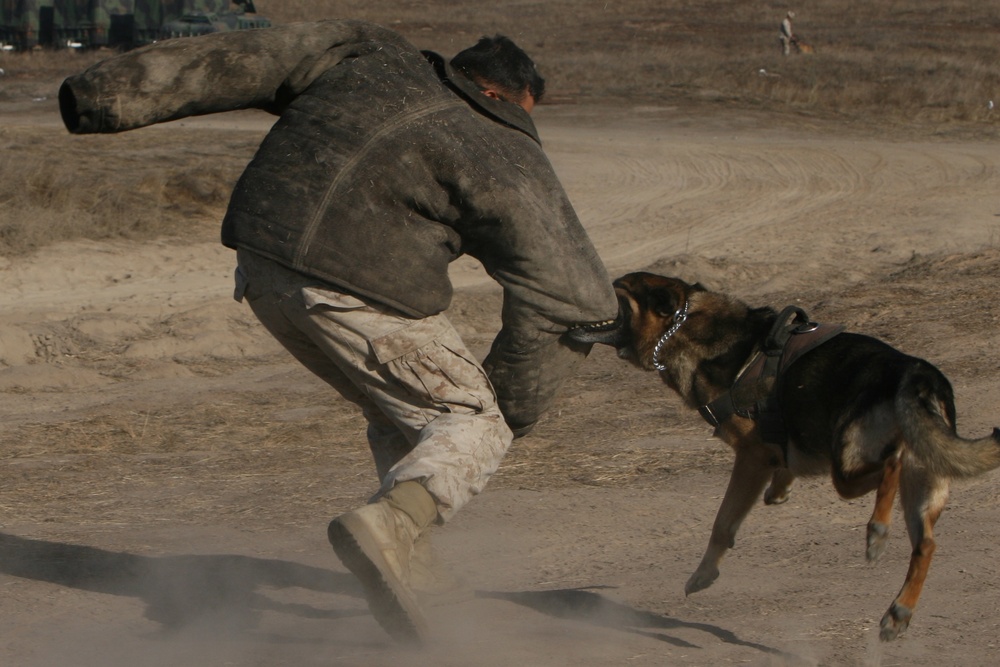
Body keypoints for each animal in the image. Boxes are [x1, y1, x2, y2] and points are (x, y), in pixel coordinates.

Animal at [572, 272, 1000, 640]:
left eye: (616, 287)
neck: (685, 326)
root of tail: (916, 374)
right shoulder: (773, 453)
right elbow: (781, 468)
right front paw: (780, 489)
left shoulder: (750, 457)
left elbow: (722, 523)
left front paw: (703, 574)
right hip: (922, 487)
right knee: (926, 546)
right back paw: (899, 612)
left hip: (848, 467)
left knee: (889, 467)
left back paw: (877, 532)